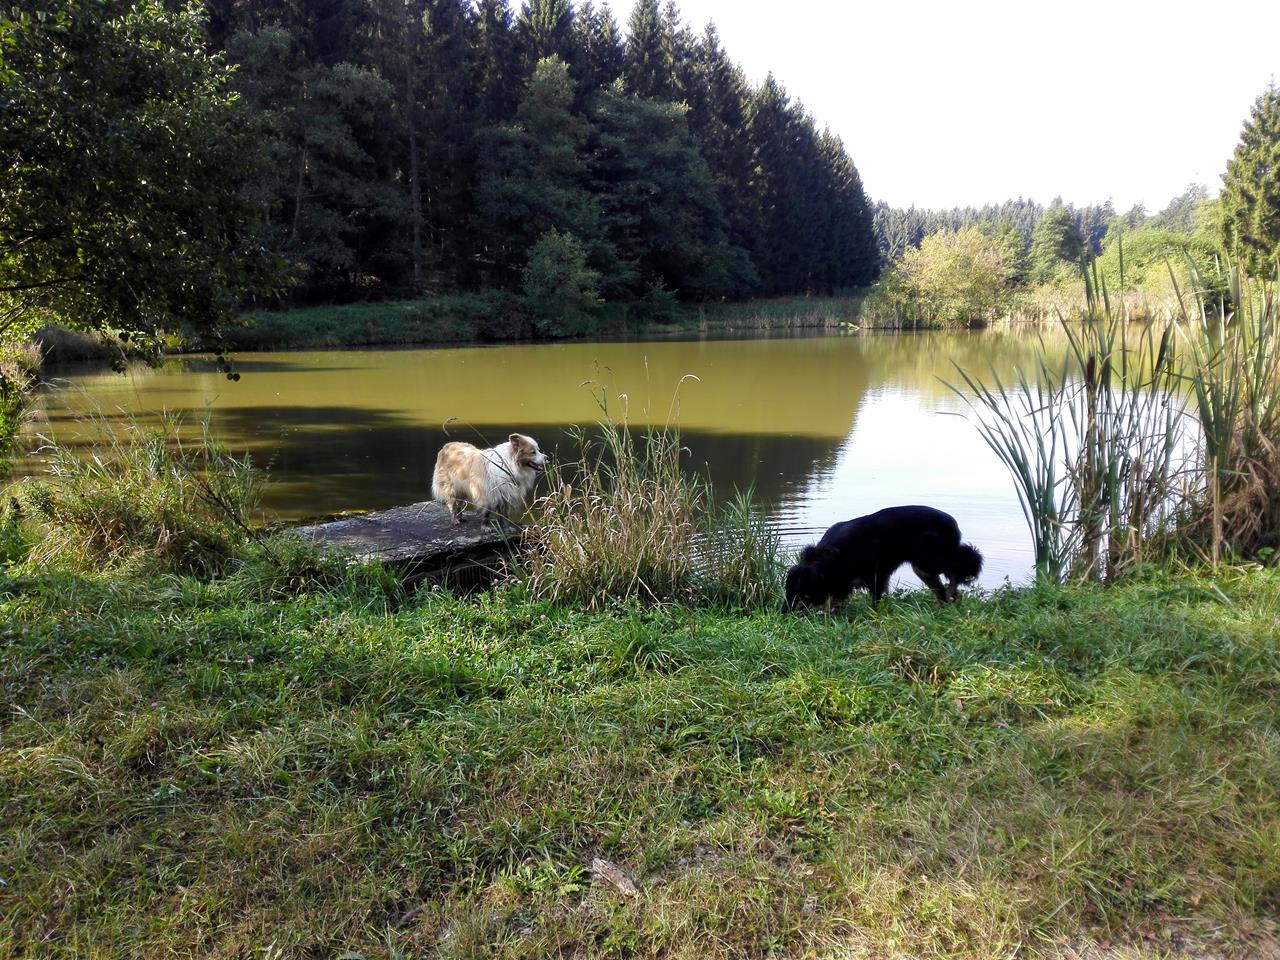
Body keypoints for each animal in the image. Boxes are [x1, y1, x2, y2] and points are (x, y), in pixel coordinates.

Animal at [782, 505, 983, 610]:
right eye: (787, 590)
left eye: (798, 592)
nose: (783, 612)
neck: (832, 557)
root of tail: (953, 523)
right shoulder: (848, 581)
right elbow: (834, 600)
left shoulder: (875, 575)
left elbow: (876, 599)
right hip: (923, 567)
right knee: (940, 588)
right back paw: (944, 604)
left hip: (929, 561)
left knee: (963, 563)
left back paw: (952, 593)